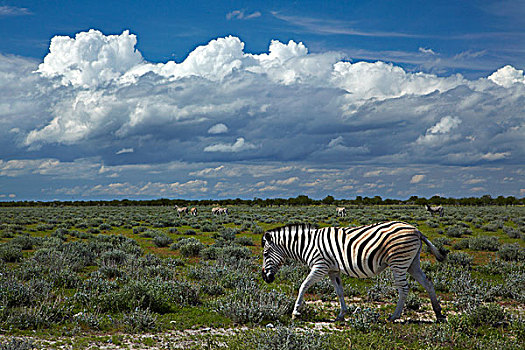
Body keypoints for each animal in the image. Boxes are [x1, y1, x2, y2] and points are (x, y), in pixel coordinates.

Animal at [260, 221, 444, 322]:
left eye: (265, 254)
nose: (265, 278)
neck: (308, 244)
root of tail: (417, 230)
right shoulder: (333, 270)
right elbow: (340, 291)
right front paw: (341, 314)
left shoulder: (320, 266)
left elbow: (303, 286)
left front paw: (296, 312)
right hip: (412, 262)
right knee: (428, 283)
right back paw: (438, 313)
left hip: (398, 261)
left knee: (404, 288)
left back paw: (394, 316)